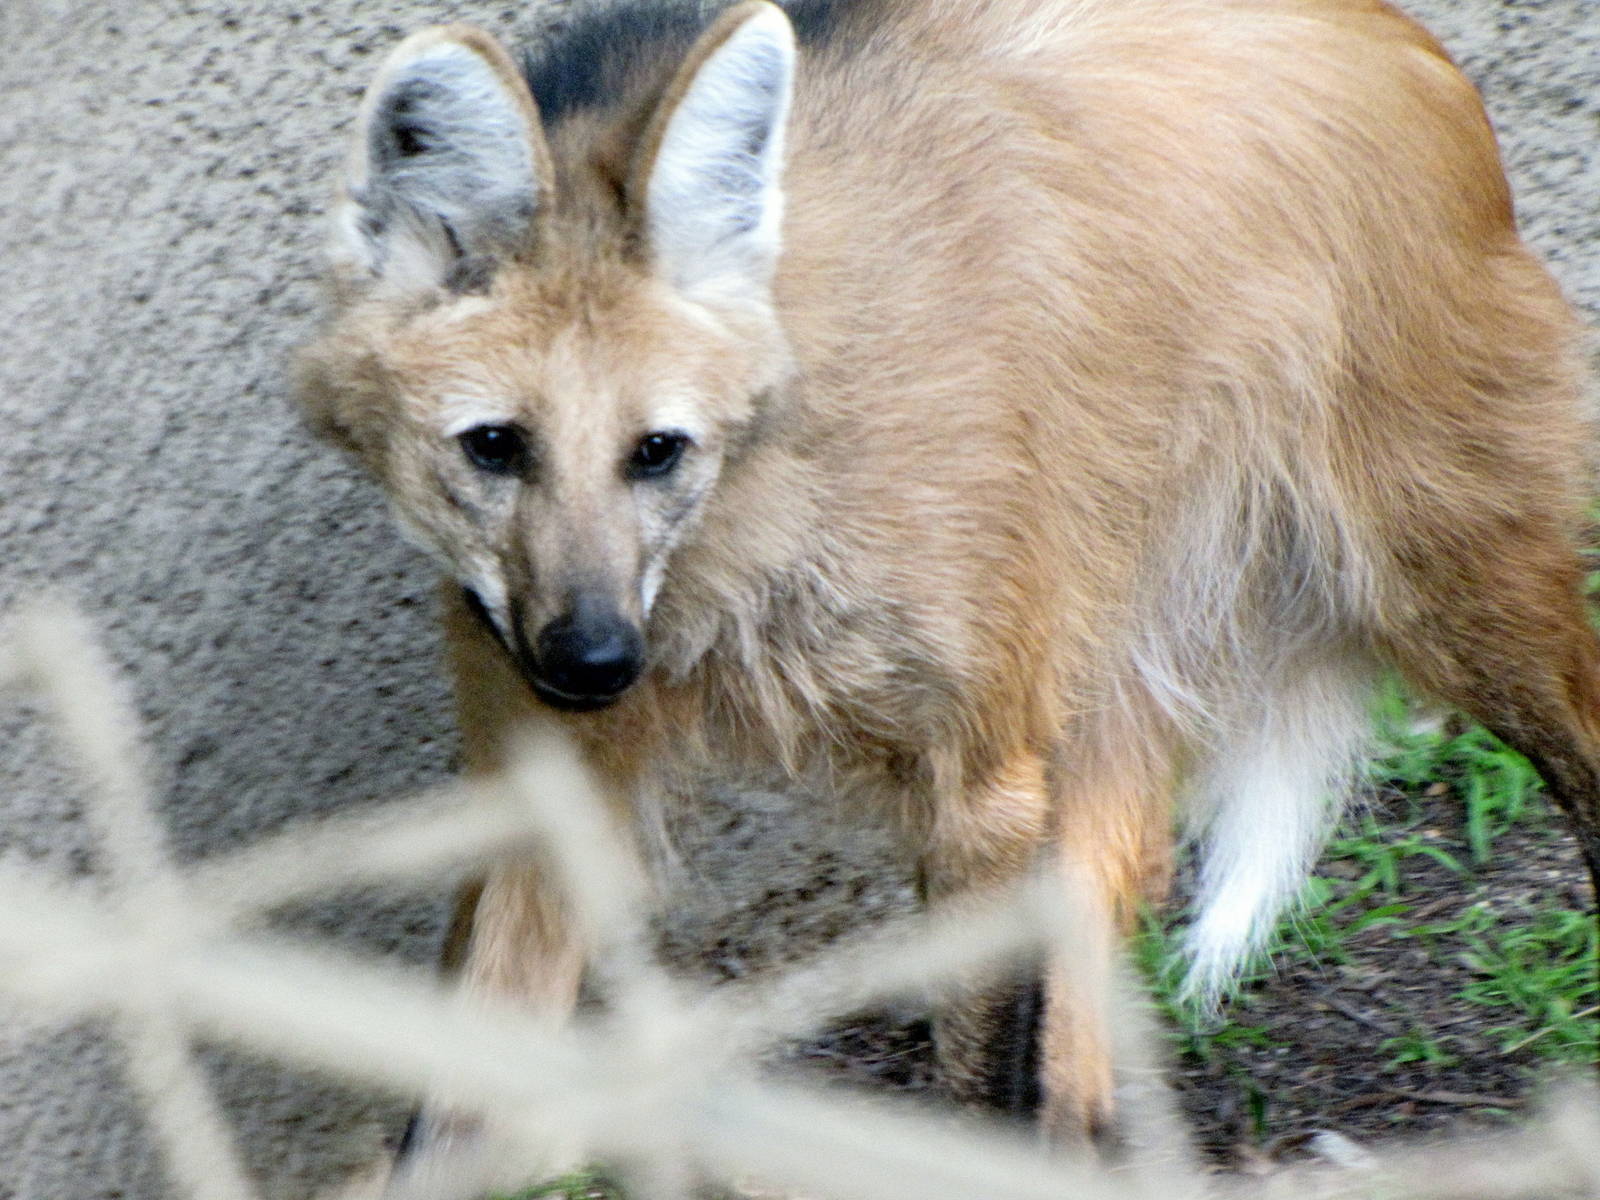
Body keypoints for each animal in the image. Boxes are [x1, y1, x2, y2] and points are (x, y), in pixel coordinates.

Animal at [296, 0, 1599, 1170]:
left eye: (656, 451)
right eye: (494, 447)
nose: (593, 663)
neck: (733, 551)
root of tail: (1408, 40)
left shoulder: (977, 786)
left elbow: (976, 1087)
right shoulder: (547, 779)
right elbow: (449, 1119)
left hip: (1443, 575)